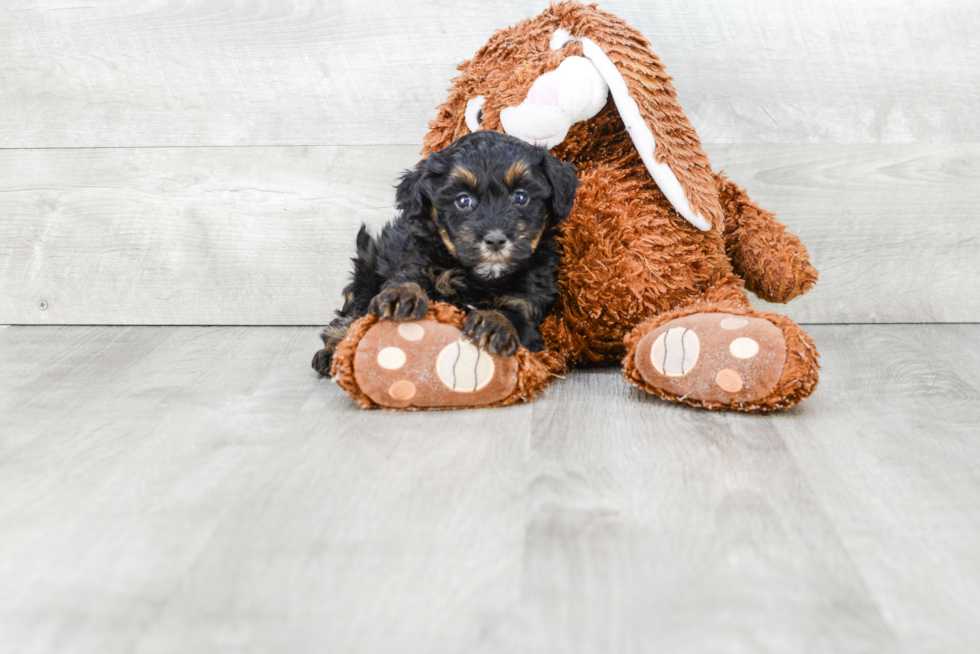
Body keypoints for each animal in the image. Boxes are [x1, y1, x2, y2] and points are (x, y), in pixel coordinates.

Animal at [310, 131, 580, 376]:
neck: (480, 277)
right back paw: (334, 351)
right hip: (367, 275)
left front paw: (495, 325)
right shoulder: (414, 257)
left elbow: (515, 314)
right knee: (351, 316)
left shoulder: (527, 299)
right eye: (463, 201)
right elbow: (408, 277)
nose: (495, 239)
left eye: (521, 197)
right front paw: (402, 296)